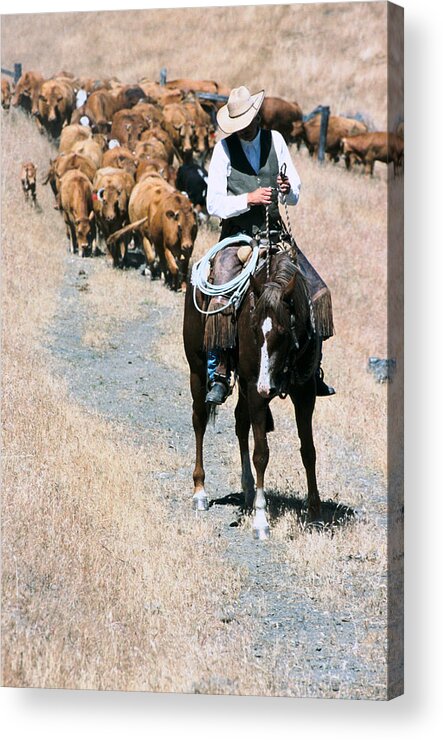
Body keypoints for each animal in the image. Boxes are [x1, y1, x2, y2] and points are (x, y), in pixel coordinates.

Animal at [182, 249, 324, 536]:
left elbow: (308, 450)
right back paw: (200, 492)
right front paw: (261, 520)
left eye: (283, 331)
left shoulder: (305, 393)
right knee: (199, 420)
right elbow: (262, 454)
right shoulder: (257, 395)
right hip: (198, 370)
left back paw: (247, 490)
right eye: (254, 329)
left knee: (240, 423)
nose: (266, 386)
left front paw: (314, 513)